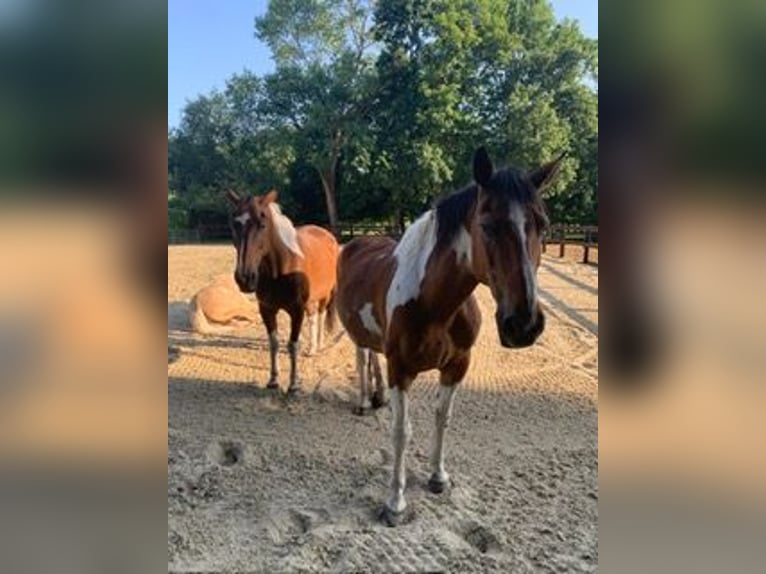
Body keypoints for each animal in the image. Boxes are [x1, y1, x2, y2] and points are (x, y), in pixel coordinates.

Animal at [225, 189, 340, 394]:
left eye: (262, 225)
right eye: (234, 224)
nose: (245, 278)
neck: (281, 268)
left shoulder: (296, 311)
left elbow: (292, 345)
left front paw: (293, 384)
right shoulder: (267, 309)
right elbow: (274, 343)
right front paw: (273, 380)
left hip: (325, 296)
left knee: (319, 316)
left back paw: (318, 345)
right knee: (313, 318)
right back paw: (311, 348)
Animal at [336, 147, 564, 525]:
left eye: (543, 225)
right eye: (486, 225)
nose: (523, 324)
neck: (435, 304)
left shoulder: (457, 366)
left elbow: (443, 418)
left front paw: (437, 477)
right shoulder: (401, 370)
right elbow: (401, 431)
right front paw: (395, 503)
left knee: (372, 356)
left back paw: (377, 396)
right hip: (356, 333)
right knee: (361, 357)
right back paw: (365, 400)